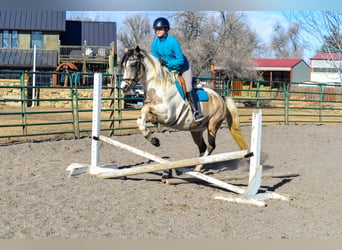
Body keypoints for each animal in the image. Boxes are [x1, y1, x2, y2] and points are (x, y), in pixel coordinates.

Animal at [120, 47, 248, 179]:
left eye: (133, 64)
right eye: (123, 65)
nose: (123, 87)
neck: (159, 87)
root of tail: (221, 97)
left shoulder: (167, 115)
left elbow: (145, 109)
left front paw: (155, 141)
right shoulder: (156, 115)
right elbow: (141, 119)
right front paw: (153, 138)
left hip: (213, 125)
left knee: (211, 146)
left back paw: (197, 168)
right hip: (196, 130)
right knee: (202, 147)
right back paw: (194, 167)